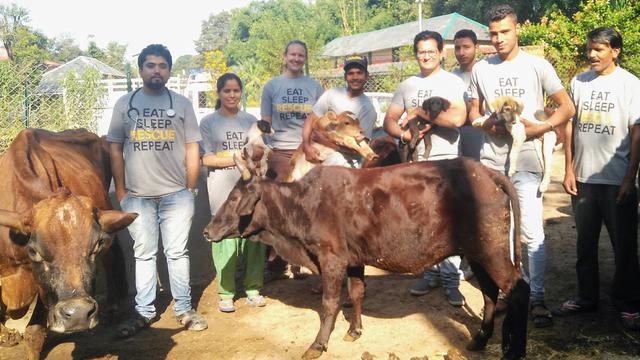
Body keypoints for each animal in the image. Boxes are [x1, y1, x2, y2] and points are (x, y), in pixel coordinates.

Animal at [0, 128, 136, 358]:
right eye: (34, 252)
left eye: (96, 245)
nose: (79, 313)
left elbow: (34, 333)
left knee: (112, 256)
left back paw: (113, 306)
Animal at [205, 155, 528, 360]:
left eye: (234, 198)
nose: (208, 231)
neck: (303, 203)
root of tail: (486, 172)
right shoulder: (354, 260)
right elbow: (357, 293)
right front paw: (354, 330)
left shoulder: (331, 260)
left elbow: (330, 303)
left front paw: (318, 345)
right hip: (478, 254)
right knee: (490, 292)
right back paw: (480, 339)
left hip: (492, 250)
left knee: (518, 288)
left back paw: (515, 350)